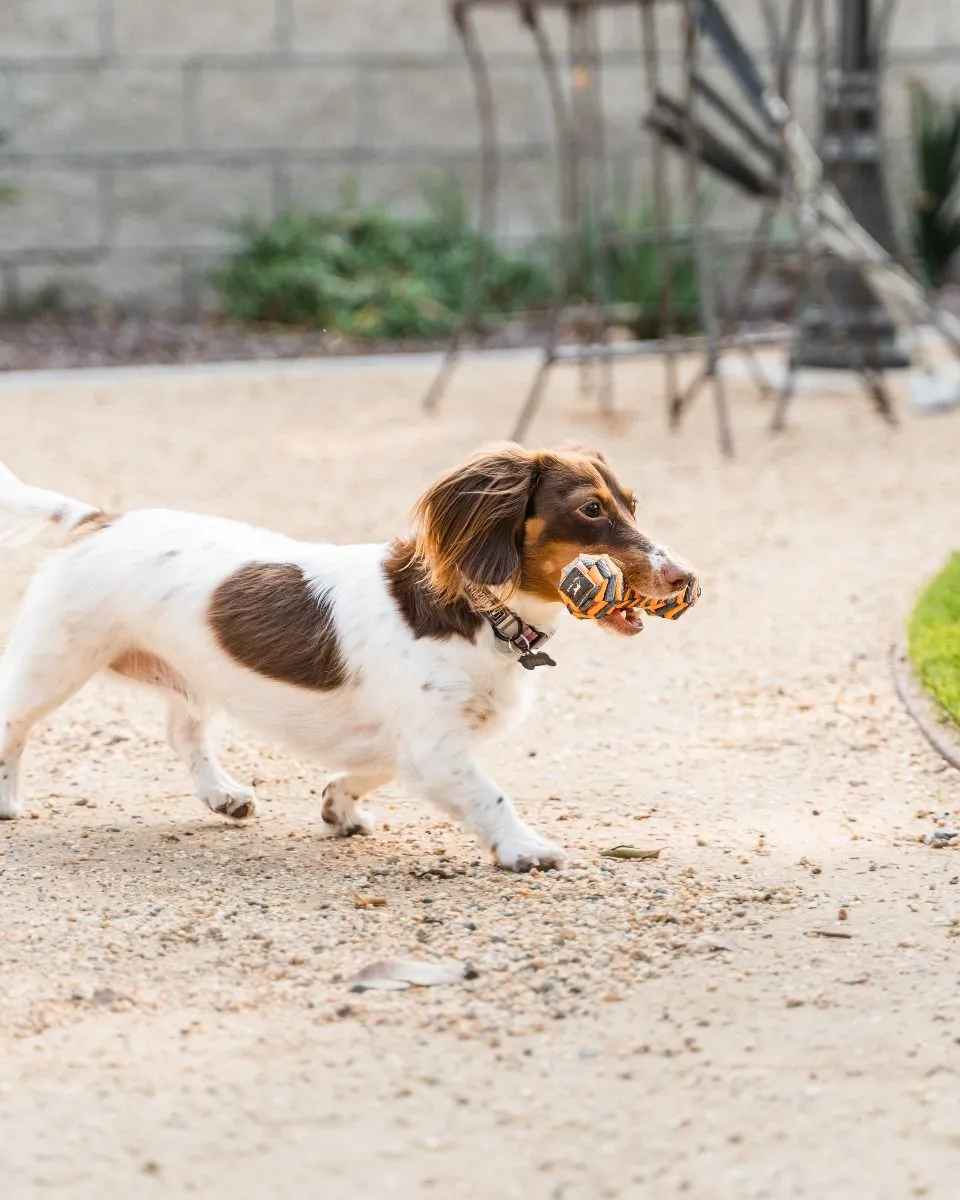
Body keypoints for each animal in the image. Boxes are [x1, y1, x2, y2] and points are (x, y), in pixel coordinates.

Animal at [0, 444, 696, 873]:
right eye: (590, 509)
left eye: (632, 504)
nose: (685, 577)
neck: (476, 614)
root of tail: (99, 519)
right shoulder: (434, 747)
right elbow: (491, 796)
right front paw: (525, 850)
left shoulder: (409, 743)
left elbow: (370, 769)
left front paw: (338, 805)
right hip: (52, 663)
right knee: (13, 726)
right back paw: (7, 801)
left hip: (187, 675)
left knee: (184, 733)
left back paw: (223, 796)